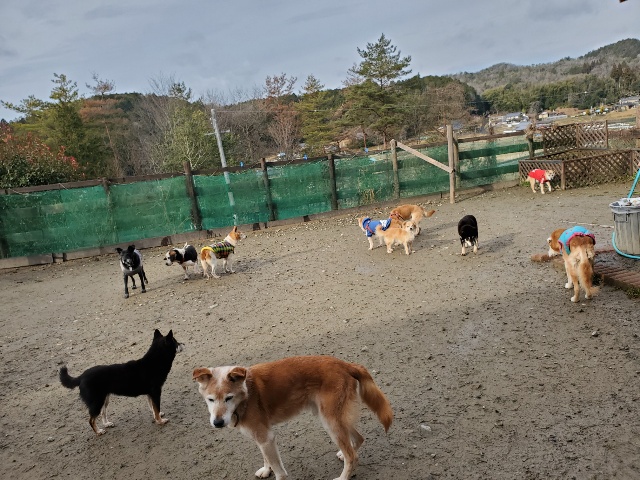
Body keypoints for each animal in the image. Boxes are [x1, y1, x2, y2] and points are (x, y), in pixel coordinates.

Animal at [193, 355, 393, 480]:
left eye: (228, 398)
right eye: (210, 399)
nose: (218, 423)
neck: (246, 395)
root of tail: (346, 364)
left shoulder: (266, 437)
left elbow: (279, 470)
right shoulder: (261, 436)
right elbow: (266, 458)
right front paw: (266, 470)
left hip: (330, 421)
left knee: (353, 456)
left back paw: (344, 475)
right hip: (335, 417)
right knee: (359, 439)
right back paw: (343, 454)